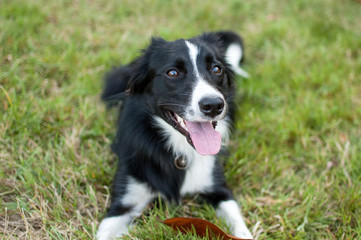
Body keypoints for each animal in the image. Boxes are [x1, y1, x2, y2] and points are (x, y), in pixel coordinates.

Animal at [97, 31, 252, 239]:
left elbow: (240, 227)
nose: (213, 105)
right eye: (172, 73)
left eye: (216, 69)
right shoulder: (122, 204)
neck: (179, 150)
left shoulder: (219, 189)